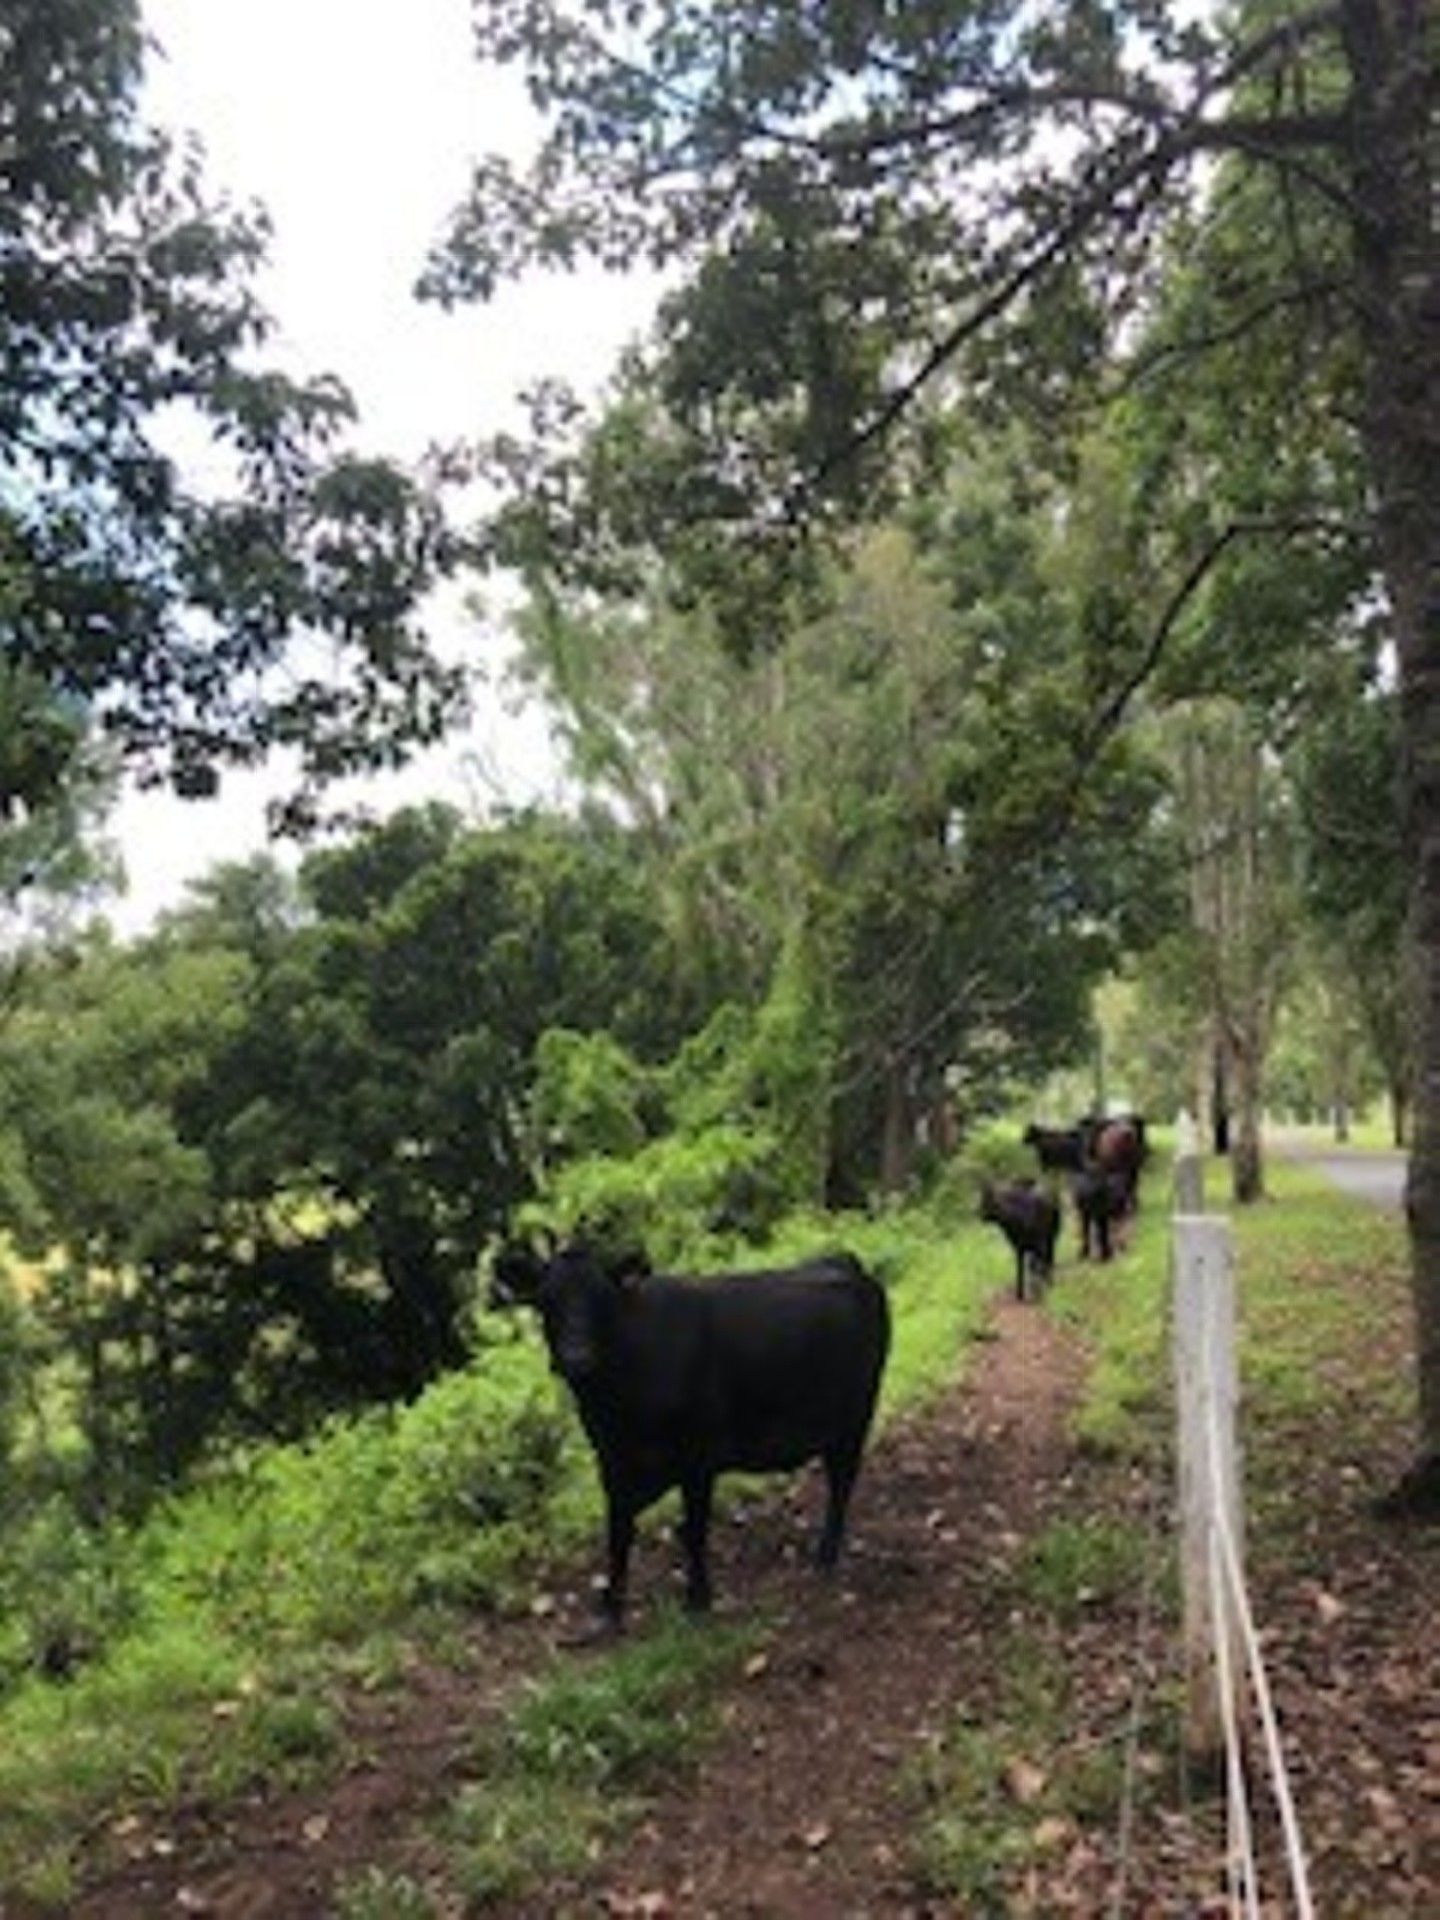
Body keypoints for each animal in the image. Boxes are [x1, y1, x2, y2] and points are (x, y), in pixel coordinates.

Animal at [491, 1236, 890, 1628]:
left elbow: (693, 1530)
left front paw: (698, 1600)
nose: (576, 1357)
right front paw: (610, 1612)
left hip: (856, 1416)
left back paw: (825, 1557)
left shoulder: (698, 1457)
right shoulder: (612, 1460)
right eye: (546, 1300)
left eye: (603, 1299)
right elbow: (619, 1535)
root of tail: (845, 1262)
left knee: (841, 1483)